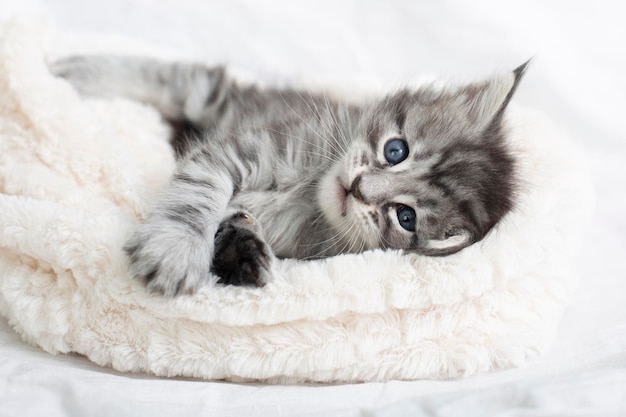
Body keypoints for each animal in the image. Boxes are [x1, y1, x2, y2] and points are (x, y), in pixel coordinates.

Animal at [51, 56, 524, 296]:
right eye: (396, 150)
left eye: (405, 218)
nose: (358, 187)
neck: (307, 193)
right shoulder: (240, 148)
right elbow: (198, 195)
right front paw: (177, 248)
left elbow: (234, 220)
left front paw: (243, 254)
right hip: (222, 101)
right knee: (186, 79)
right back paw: (74, 70)